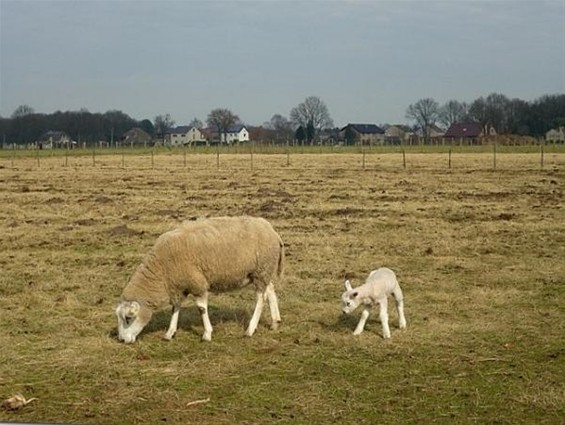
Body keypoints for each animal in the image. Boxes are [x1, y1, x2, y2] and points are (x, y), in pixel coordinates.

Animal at [114, 217, 284, 342]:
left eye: (128, 318)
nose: (122, 340)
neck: (161, 270)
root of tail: (273, 231)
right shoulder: (179, 285)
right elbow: (175, 308)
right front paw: (170, 333)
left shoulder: (197, 284)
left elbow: (201, 309)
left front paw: (207, 334)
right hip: (262, 271)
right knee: (270, 290)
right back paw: (275, 322)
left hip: (262, 269)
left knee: (260, 299)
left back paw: (250, 329)